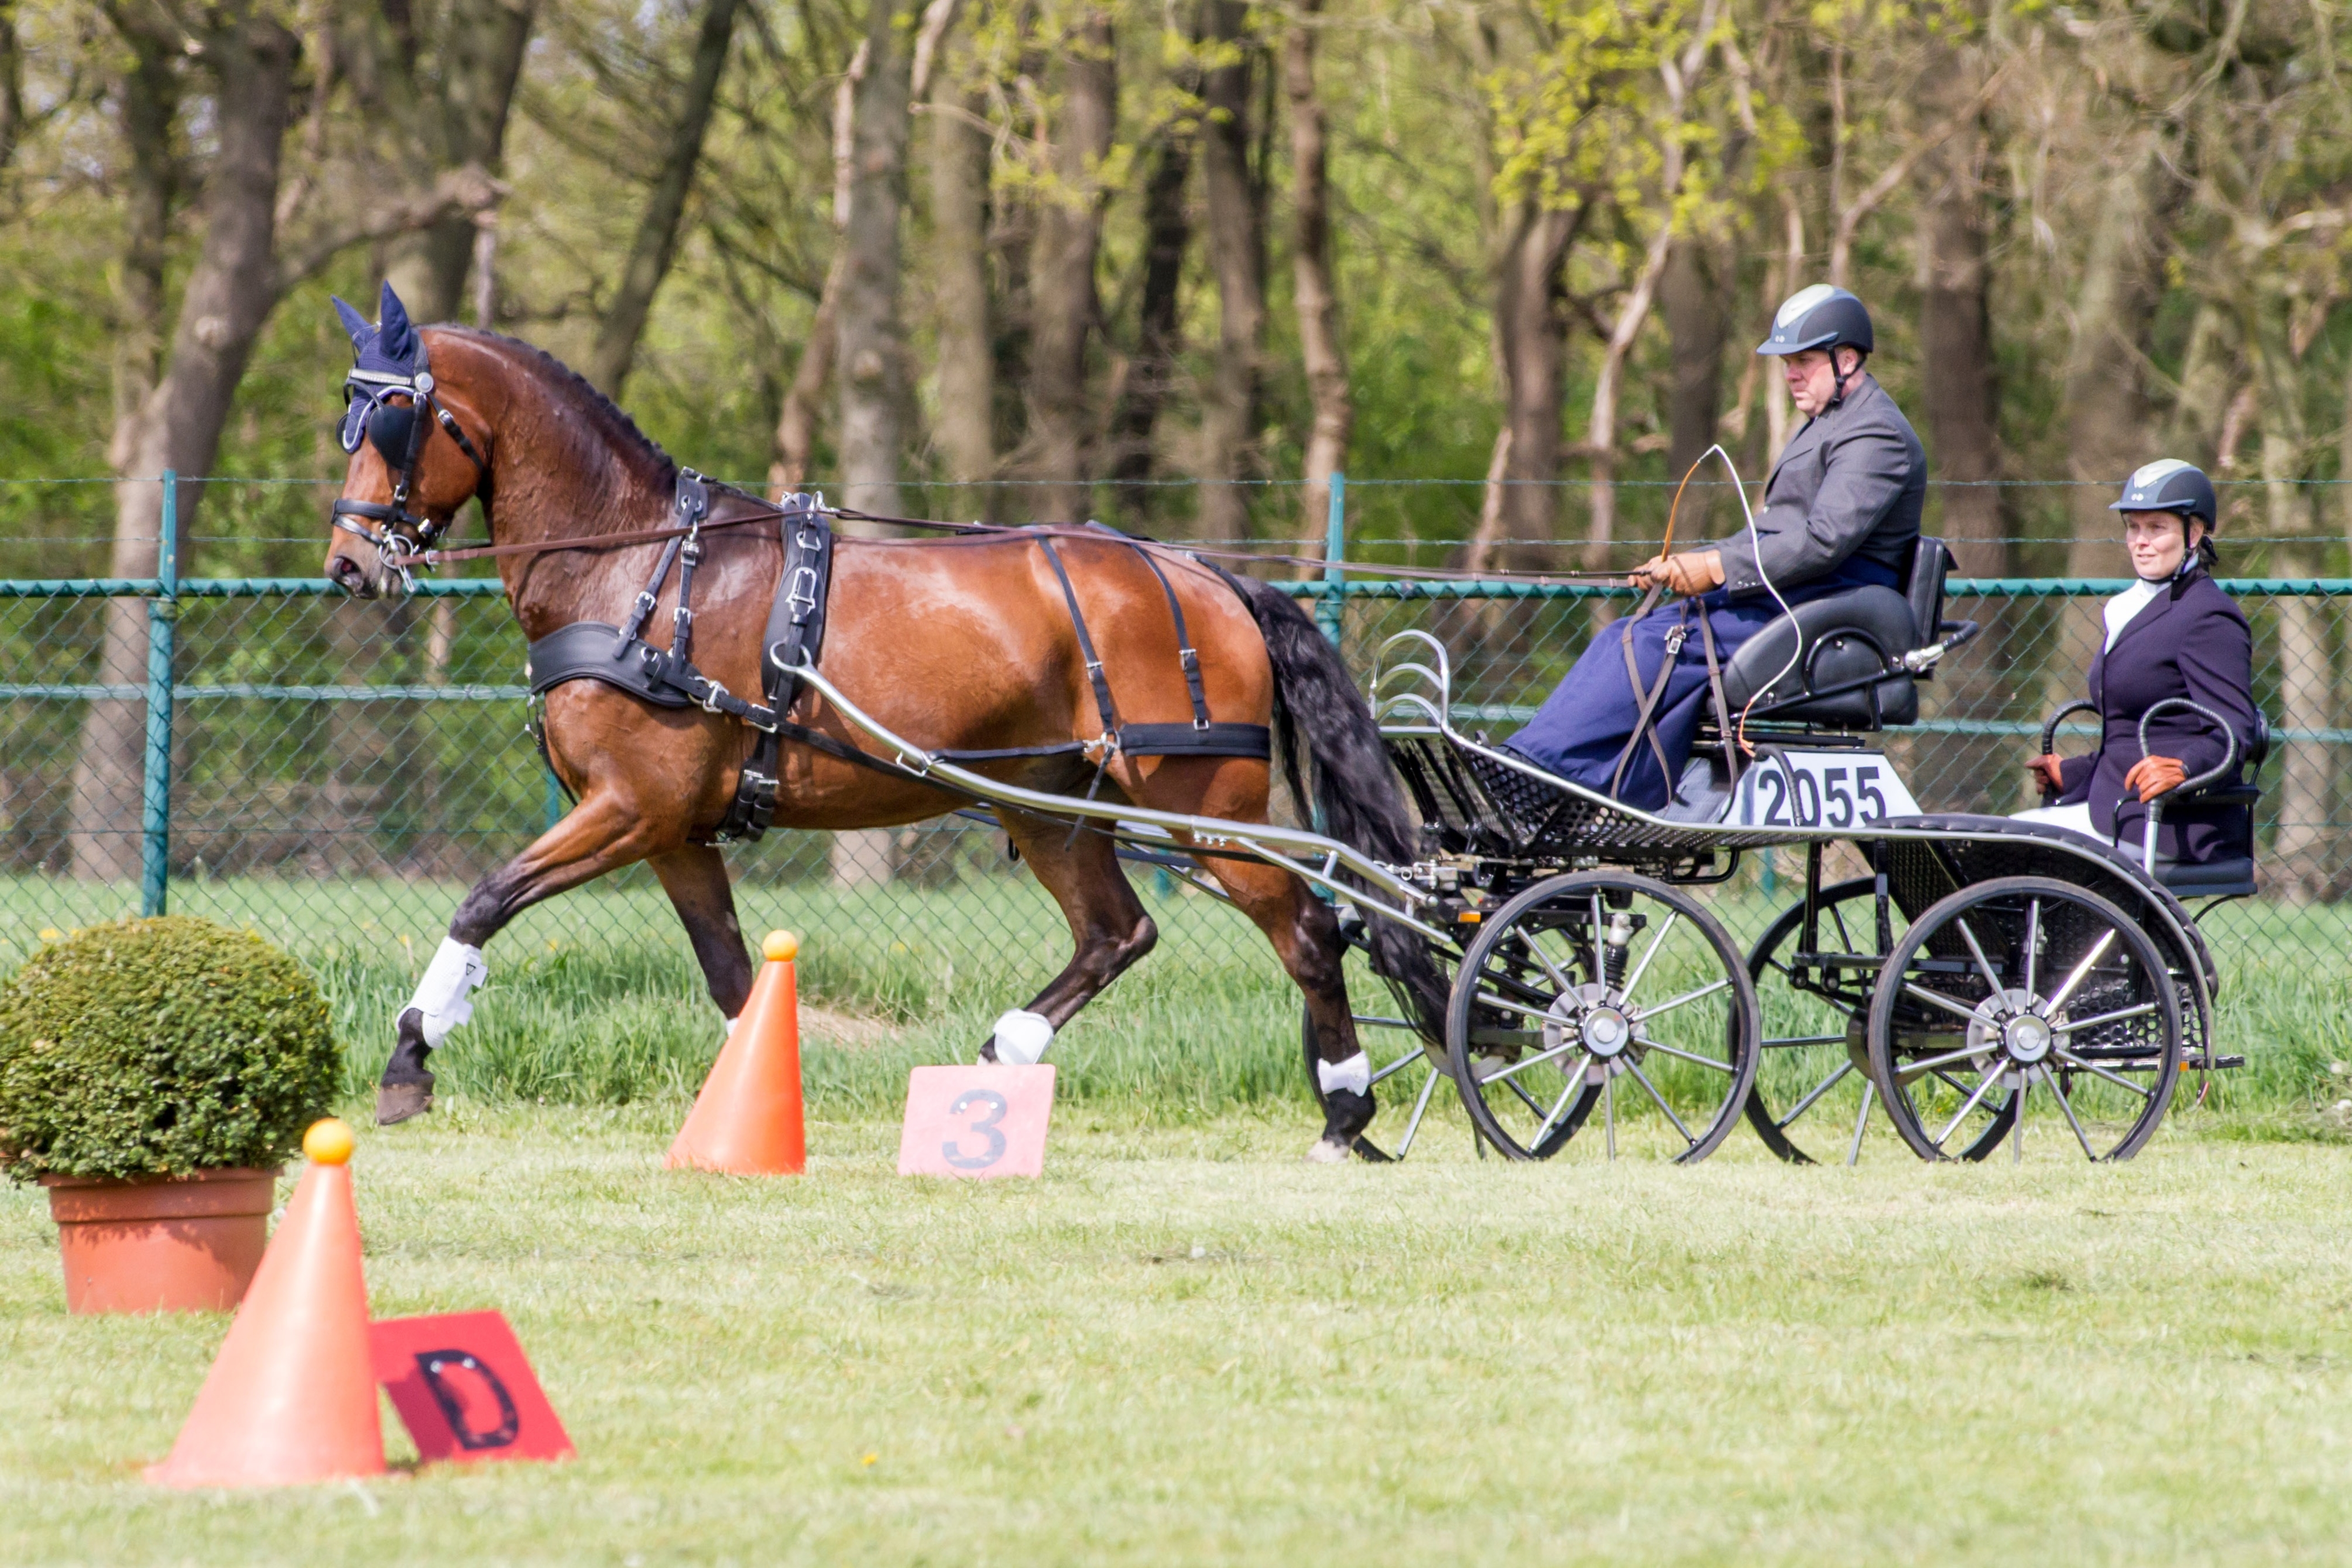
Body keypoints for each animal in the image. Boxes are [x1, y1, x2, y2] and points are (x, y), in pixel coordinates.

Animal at [322, 288, 1439, 1161]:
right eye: (349, 416)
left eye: (393, 418)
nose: (348, 562)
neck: (642, 568)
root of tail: (1208, 576)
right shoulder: (676, 831)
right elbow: (736, 982)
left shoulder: (629, 808)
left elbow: (483, 902)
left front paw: (409, 1056)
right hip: (1050, 807)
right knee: (1118, 932)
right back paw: (1000, 1061)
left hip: (1203, 804)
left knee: (1306, 929)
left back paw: (1346, 1110)